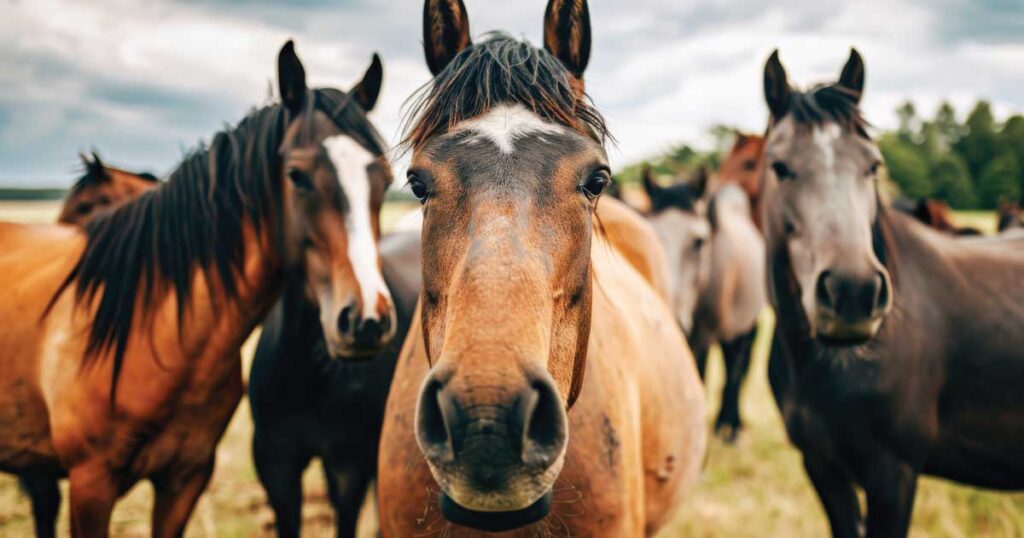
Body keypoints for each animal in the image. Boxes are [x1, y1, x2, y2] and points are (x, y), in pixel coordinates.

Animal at [0, 41, 395, 537]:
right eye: (296, 175)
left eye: (386, 179)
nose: (366, 320)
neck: (159, 335)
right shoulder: (91, 484)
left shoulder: (184, 480)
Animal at [642, 165, 766, 443]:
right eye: (651, 234)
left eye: (699, 242)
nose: (672, 318)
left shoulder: (702, 337)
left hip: (746, 326)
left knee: (736, 369)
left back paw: (731, 426)